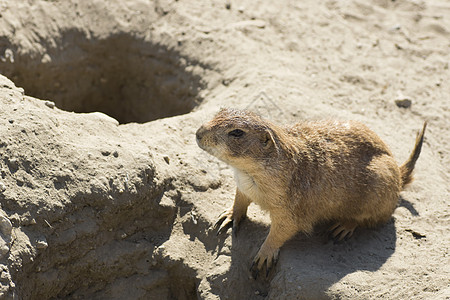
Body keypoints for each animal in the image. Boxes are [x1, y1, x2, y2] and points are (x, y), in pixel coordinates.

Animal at [196, 107, 426, 276]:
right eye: (219, 111)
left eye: (236, 132)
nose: (198, 133)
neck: (247, 172)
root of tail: (399, 174)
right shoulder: (243, 185)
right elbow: (240, 201)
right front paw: (228, 217)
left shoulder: (290, 206)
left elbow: (283, 229)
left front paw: (263, 256)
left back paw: (343, 227)